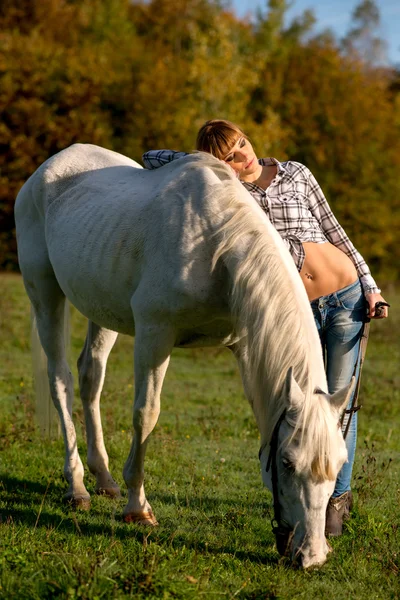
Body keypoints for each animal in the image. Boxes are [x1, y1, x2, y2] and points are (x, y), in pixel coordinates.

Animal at [14, 144, 354, 568]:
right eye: (288, 463)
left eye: (338, 464)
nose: (312, 555)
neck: (216, 247)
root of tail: (49, 168)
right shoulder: (154, 335)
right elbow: (146, 415)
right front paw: (138, 508)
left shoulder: (246, 346)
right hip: (44, 294)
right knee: (61, 379)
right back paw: (77, 486)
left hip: (101, 309)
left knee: (91, 377)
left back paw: (104, 478)